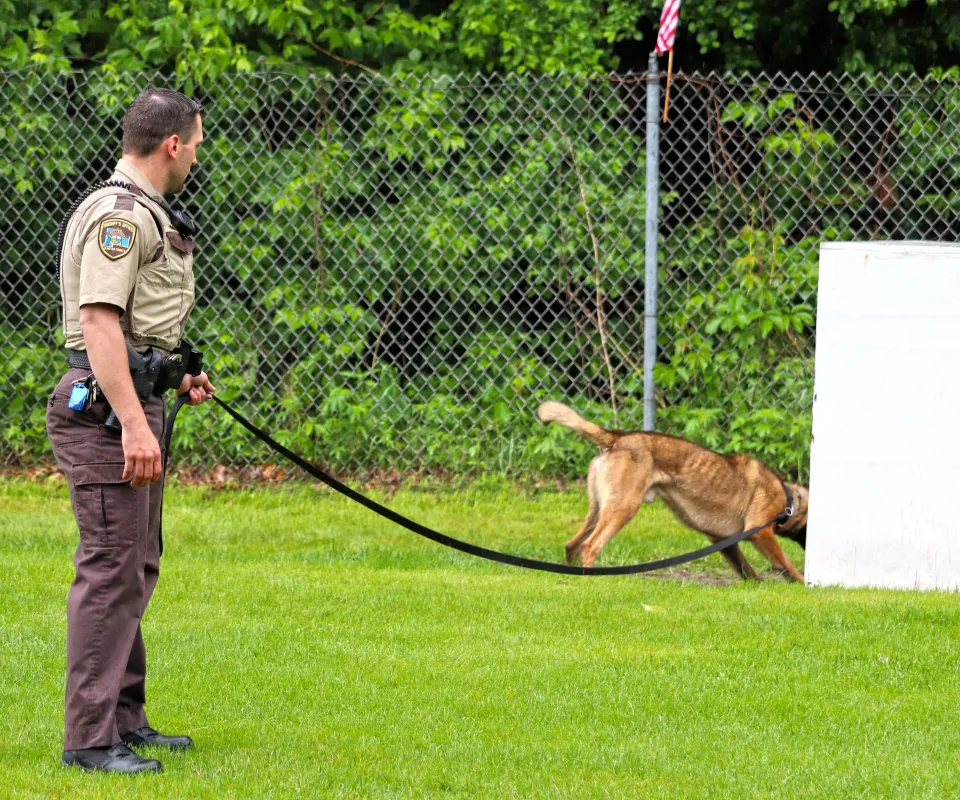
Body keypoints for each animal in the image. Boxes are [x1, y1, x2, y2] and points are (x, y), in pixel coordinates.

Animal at [536, 400, 808, 580]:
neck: (788, 499)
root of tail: (617, 437)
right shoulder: (759, 531)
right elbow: (786, 563)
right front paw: (801, 584)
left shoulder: (722, 541)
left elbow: (745, 568)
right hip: (623, 508)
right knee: (590, 545)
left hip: (598, 509)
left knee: (572, 545)